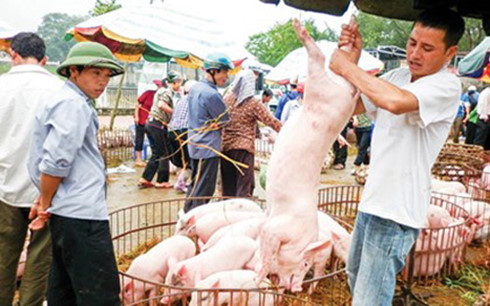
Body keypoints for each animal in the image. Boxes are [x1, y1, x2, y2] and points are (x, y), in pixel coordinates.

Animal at [256, 19, 356, 292]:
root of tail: (346, 93)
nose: (297, 288)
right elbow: (267, 251)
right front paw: (258, 278)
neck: (300, 232)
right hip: (323, 89)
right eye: (304, 262)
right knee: (322, 59)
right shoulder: (274, 229)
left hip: (330, 93)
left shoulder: (271, 224)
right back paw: (302, 27)